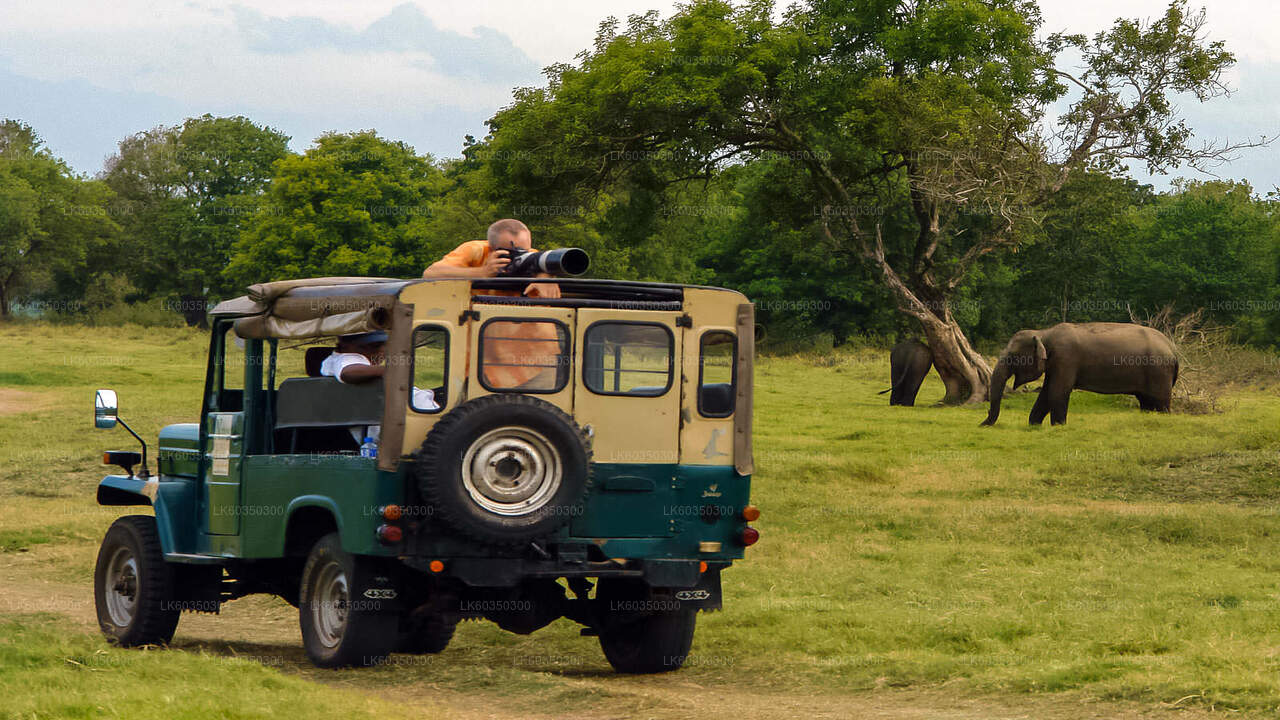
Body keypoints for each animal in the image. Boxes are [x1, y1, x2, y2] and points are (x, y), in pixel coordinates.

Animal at [977, 320, 1177, 425]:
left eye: (1012, 357)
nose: (982, 424)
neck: (1044, 333)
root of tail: (1173, 349)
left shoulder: (1066, 359)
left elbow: (1057, 392)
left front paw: (1058, 426)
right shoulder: (1055, 364)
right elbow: (1045, 393)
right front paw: (1034, 425)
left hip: (1159, 372)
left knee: (1160, 403)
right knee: (1146, 402)